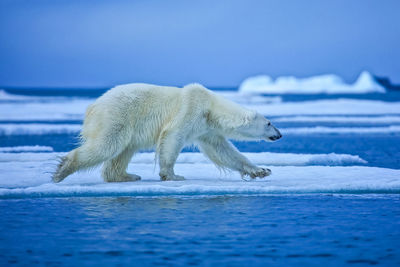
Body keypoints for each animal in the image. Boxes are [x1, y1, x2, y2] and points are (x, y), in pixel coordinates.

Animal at [52, 83, 282, 184]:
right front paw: (172, 175)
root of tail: (93, 105)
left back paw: (127, 175)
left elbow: (223, 151)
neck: (211, 107)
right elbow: (173, 137)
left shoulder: (206, 128)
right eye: (269, 123)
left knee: (124, 151)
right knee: (107, 145)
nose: (280, 134)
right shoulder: (190, 109)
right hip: (117, 116)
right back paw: (62, 170)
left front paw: (261, 170)